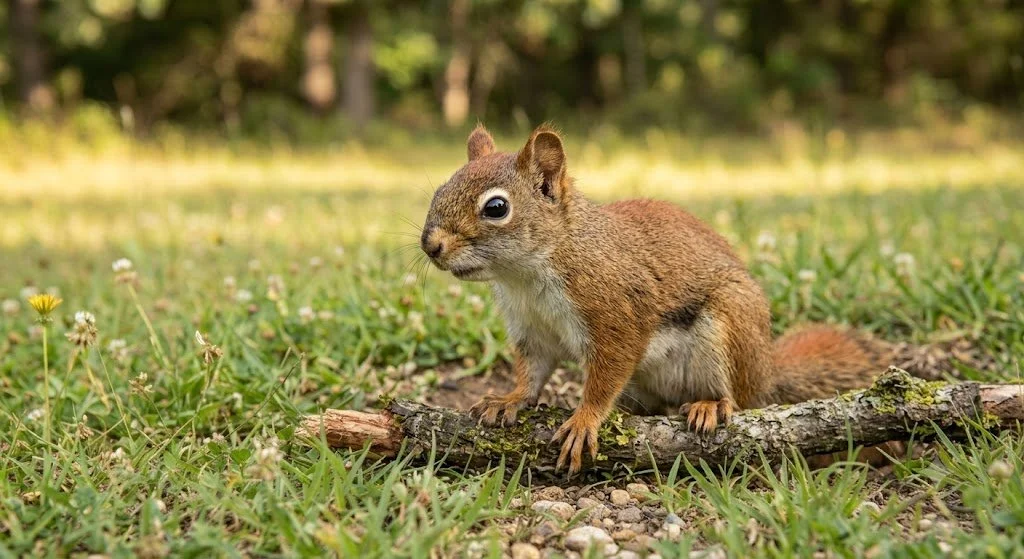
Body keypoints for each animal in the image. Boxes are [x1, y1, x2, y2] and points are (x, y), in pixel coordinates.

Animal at [420, 124, 897, 474]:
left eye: (496, 208)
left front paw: (584, 419)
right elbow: (531, 373)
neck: (526, 275)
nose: (431, 246)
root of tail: (766, 371)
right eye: (439, 189)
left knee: (739, 399)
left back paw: (711, 405)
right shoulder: (531, 330)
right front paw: (509, 399)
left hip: (728, 330)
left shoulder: (615, 313)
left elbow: (606, 373)